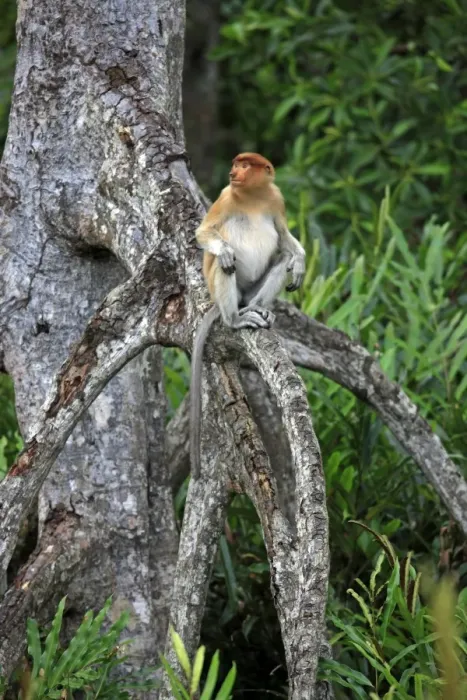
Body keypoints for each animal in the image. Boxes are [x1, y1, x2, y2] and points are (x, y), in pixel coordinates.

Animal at [190, 152, 306, 478]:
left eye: (244, 164)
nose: (234, 172)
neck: (252, 198)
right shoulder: (225, 197)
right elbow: (204, 232)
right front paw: (223, 249)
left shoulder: (276, 199)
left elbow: (285, 238)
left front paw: (300, 263)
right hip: (222, 289)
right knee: (224, 266)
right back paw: (236, 318)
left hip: (252, 290)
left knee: (282, 257)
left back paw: (259, 308)